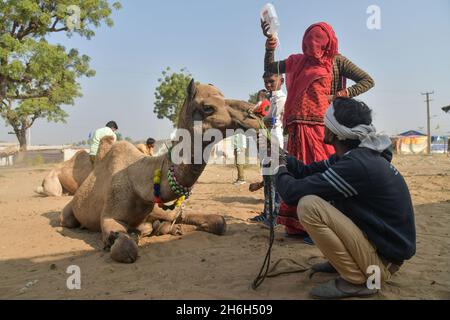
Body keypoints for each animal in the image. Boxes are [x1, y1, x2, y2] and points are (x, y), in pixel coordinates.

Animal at [61, 81, 262, 264]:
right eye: (208, 107)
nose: (254, 114)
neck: (139, 181)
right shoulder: (110, 214)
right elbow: (126, 249)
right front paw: (121, 239)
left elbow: (219, 221)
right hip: (68, 215)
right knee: (68, 220)